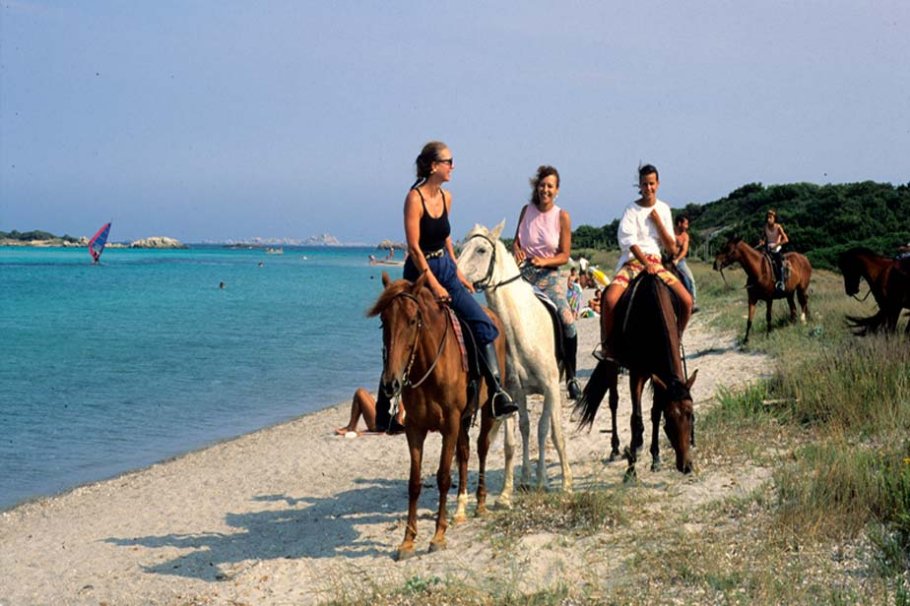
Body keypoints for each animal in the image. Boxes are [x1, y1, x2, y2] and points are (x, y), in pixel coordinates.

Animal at [366, 274, 502, 564]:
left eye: (412, 320)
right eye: (384, 321)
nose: (391, 383)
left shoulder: (449, 424)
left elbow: (442, 477)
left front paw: (438, 536)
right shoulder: (415, 428)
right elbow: (414, 482)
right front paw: (407, 541)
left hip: (486, 410)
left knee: (482, 449)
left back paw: (481, 503)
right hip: (464, 419)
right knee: (465, 453)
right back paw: (460, 509)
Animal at [460, 221, 572, 506]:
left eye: (480, 250)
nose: (458, 278)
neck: (520, 328)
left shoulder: (550, 387)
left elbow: (552, 433)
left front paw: (561, 484)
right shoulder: (510, 392)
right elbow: (512, 441)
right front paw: (506, 493)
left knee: (546, 428)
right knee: (525, 428)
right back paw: (524, 479)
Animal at [576, 274, 700, 480]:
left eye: (690, 415)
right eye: (670, 419)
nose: (686, 466)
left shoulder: (660, 376)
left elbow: (655, 414)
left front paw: (655, 458)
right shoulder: (637, 374)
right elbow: (635, 418)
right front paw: (631, 469)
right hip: (611, 361)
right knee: (613, 401)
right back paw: (616, 448)